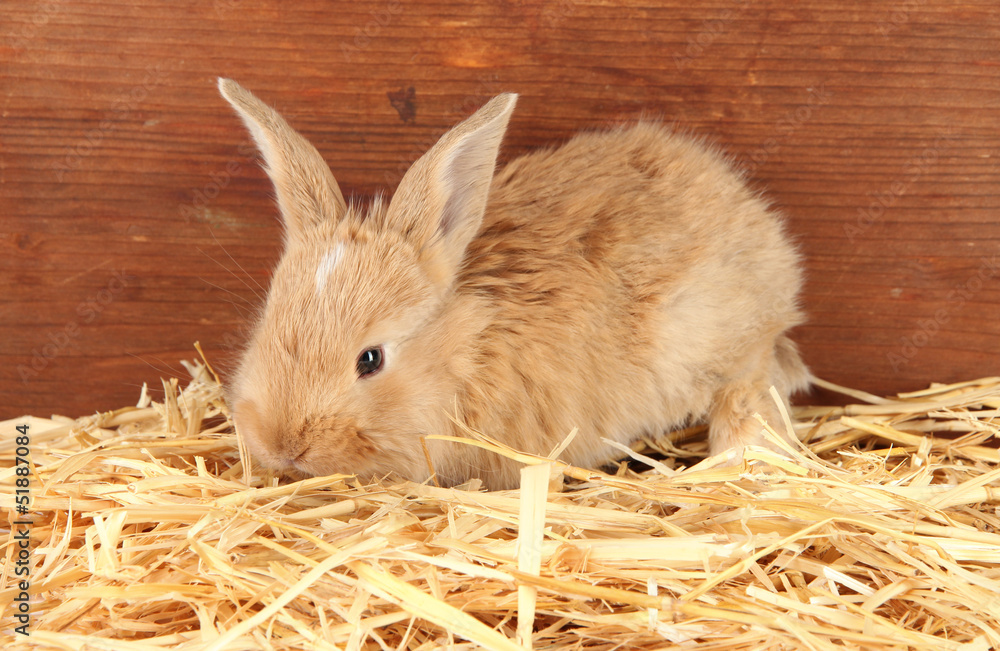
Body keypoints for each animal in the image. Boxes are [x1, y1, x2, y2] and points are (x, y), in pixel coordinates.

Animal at [219, 78, 810, 490]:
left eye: (371, 359)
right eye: (267, 324)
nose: (284, 445)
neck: (465, 352)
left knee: (753, 387)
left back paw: (740, 456)